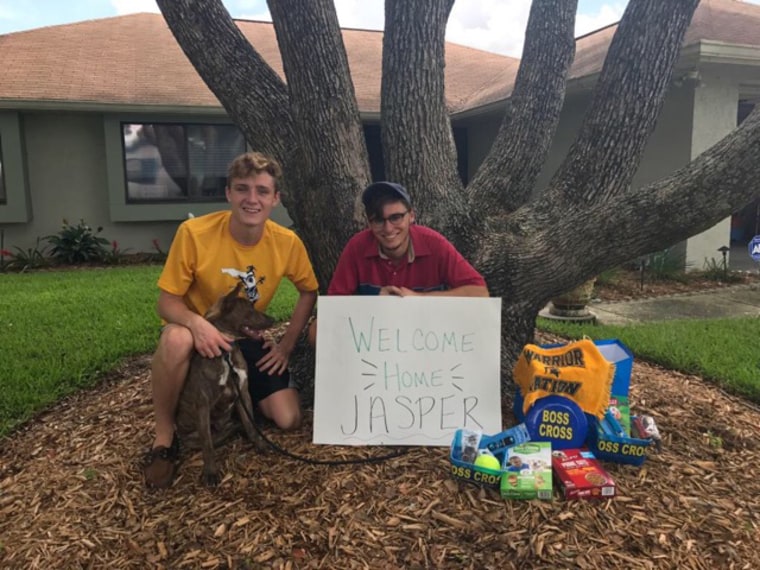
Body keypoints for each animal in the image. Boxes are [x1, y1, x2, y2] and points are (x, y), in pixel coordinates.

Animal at [175, 282, 274, 482]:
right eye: (249, 310)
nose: (273, 319)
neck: (225, 354)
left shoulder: (243, 392)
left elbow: (250, 423)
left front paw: (259, 444)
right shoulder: (203, 404)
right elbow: (207, 445)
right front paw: (210, 472)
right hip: (192, 435)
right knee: (210, 439)